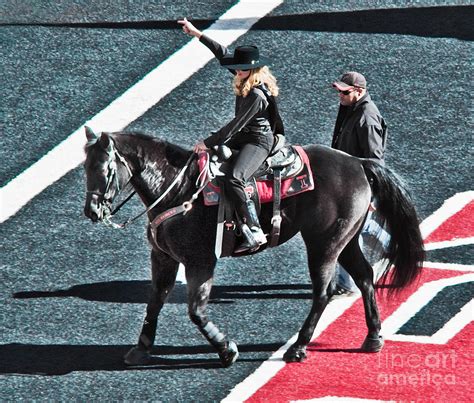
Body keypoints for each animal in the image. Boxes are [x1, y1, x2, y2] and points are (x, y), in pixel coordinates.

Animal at [83, 128, 424, 368]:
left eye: (105, 169)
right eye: (85, 167)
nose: (92, 211)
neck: (178, 189)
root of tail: (358, 162)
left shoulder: (200, 261)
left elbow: (196, 311)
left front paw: (227, 350)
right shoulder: (164, 257)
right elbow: (154, 302)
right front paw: (140, 348)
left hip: (324, 243)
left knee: (323, 292)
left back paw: (299, 347)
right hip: (347, 239)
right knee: (365, 277)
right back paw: (373, 337)